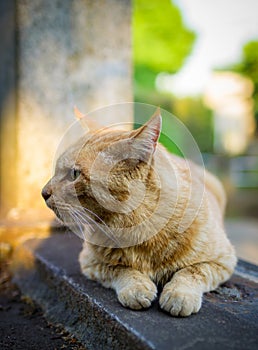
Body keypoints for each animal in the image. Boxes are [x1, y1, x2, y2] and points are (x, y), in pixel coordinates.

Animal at [41, 112, 236, 318]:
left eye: (74, 174)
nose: (43, 192)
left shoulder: (222, 260)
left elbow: (193, 271)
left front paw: (180, 294)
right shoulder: (90, 262)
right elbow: (120, 269)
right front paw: (136, 288)